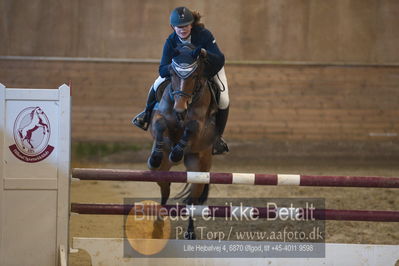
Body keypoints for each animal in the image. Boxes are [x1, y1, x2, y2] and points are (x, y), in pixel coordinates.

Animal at [148, 43, 219, 239]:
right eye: (172, 74)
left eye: (194, 76)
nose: (180, 109)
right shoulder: (160, 115)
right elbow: (160, 125)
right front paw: (157, 155)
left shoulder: (199, 126)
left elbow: (190, 129)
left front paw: (177, 152)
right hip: (160, 172)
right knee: (165, 190)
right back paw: (158, 224)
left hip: (199, 170)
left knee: (192, 201)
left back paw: (190, 232)